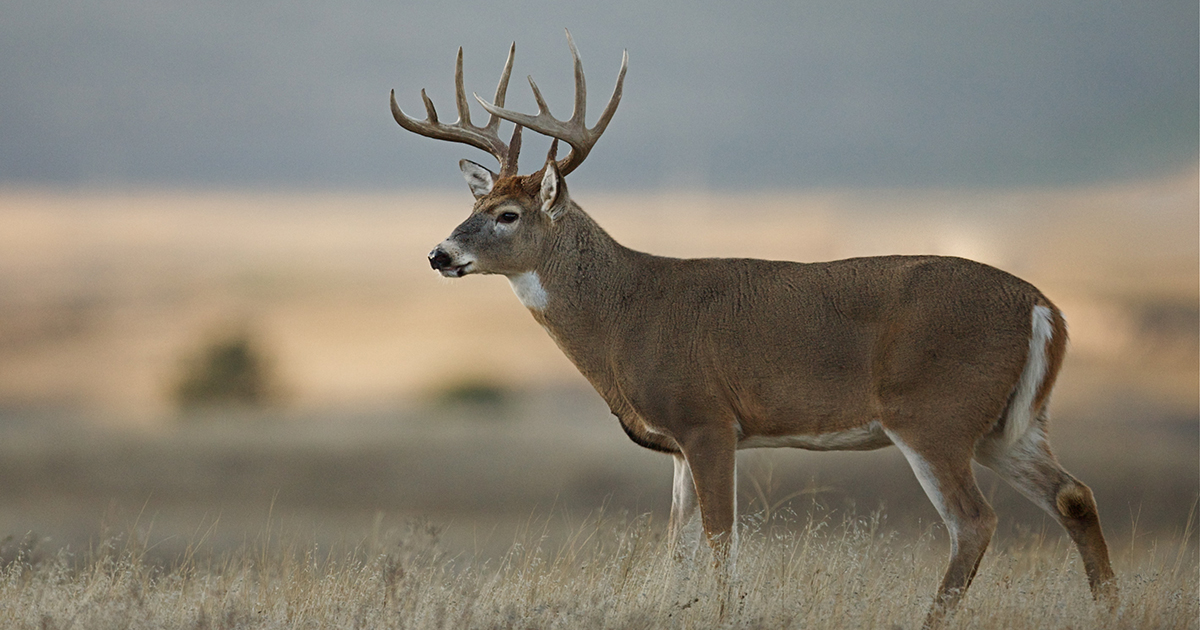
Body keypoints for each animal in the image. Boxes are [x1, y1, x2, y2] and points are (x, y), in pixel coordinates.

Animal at [388, 31, 1118, 624]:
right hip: (1006, 424)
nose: (438, 255)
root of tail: (1043, 306)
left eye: (508, 214)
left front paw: (724, 613)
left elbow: (720, 538)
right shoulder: (677, 443)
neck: (626, 314)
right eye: (475, 202)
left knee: (974, 521)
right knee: (1074, 494)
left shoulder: (708, 418)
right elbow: (678, 546)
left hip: (933, 412)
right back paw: (1108, 607)